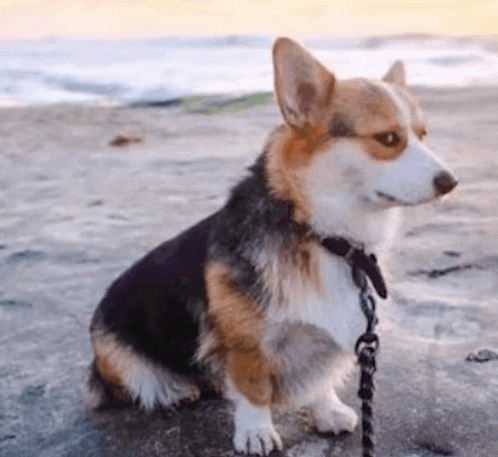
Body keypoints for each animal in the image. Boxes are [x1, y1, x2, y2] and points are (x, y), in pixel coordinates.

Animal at [87, 37, 458, 454]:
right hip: (115, 352)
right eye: (389, 139)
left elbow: (320, 379)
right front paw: (256, 432)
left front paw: (327, 411)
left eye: (423, 135)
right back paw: (171, 389)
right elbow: (252, 389)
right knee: (132, 383)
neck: (323, 236)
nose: (451, 182)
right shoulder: (245, 341)